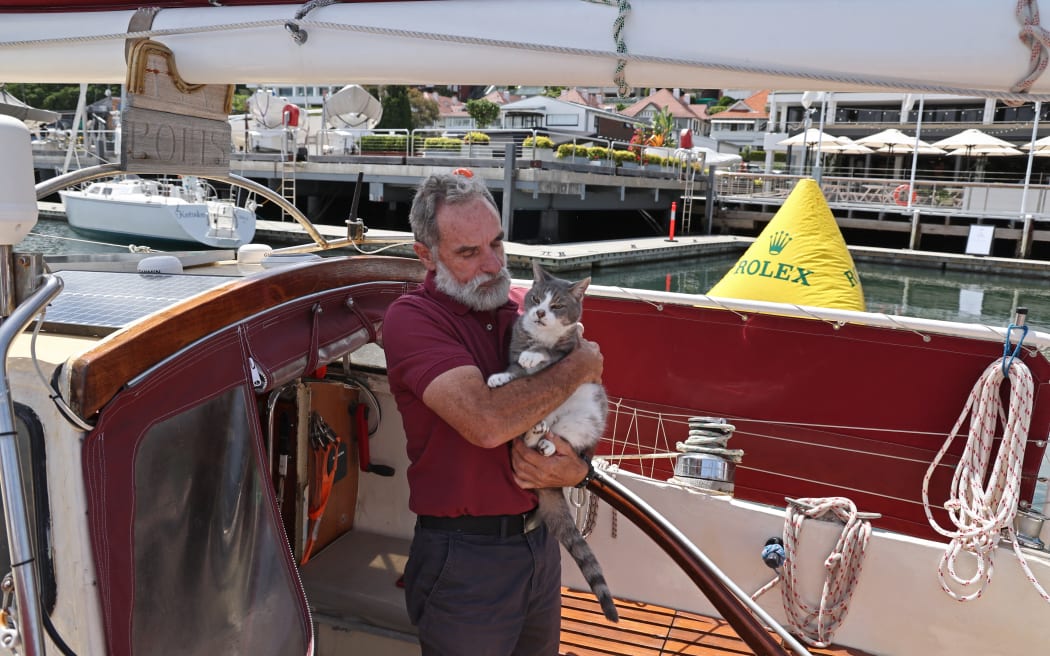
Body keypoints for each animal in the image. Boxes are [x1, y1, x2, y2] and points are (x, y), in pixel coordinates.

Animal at [485, 259, 613, 617]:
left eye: (557, 306)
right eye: (536, 298)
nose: (541, 312)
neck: (539, 335)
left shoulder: (569, 352)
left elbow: (547, 354)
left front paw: (535, 355)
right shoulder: (515, 347)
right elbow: (515, 368)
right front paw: (501, 376)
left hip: (588, 414)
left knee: (567, 439)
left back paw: (545, 442)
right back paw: (535, 434)